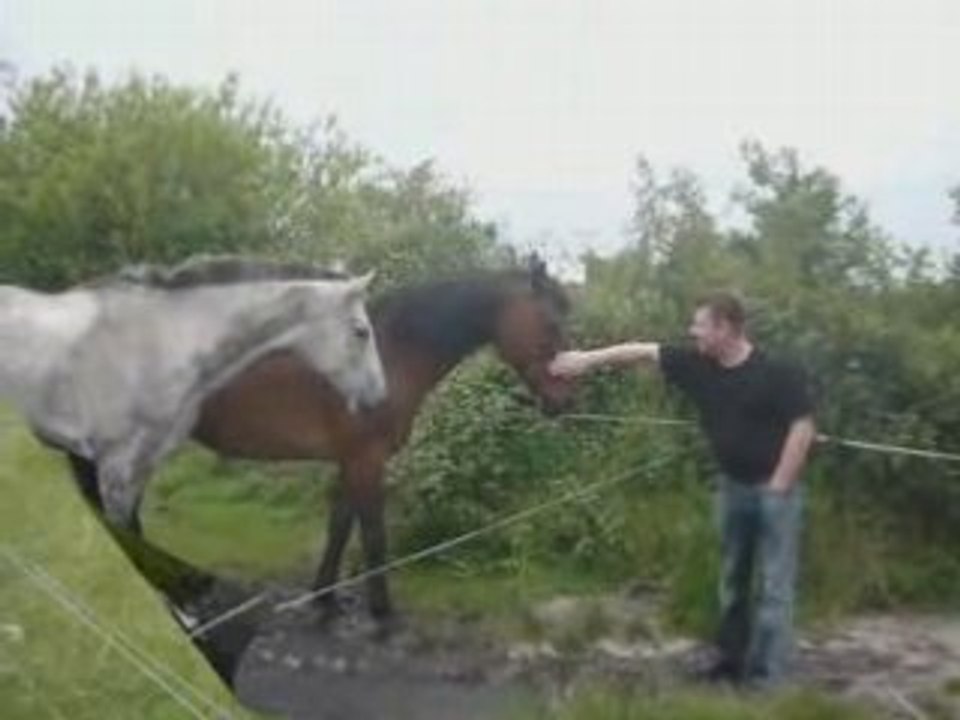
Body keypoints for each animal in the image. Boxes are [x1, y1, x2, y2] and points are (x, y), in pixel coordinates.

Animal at [190, 256, 575, 636]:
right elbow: (374, 536)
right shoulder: (367, 459)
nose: (566, 402)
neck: (391, 355)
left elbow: (339, 528)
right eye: (551, 323)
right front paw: (382, 613)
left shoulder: (350, 461)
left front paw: (325, 601)